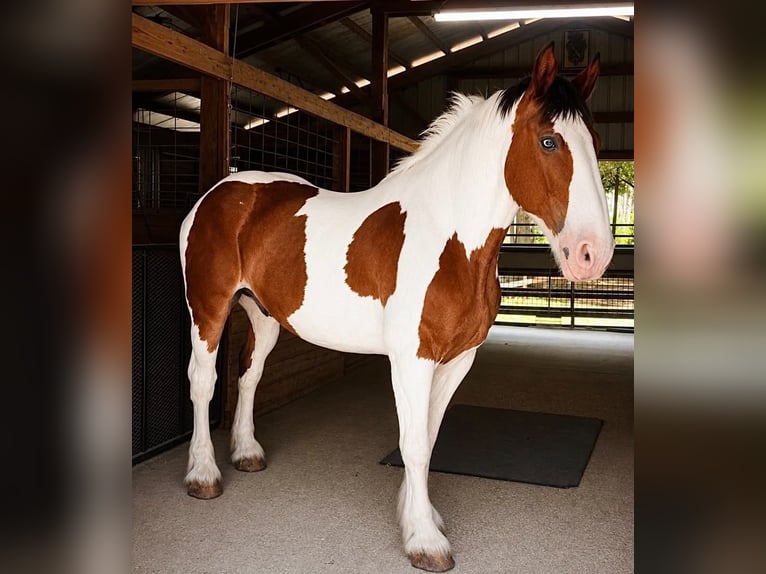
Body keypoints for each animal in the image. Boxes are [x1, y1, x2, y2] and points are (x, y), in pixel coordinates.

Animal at [179, 43, 614, 572]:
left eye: (594, 141)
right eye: (550, 142)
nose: (592, 254)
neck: (450, 240)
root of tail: (219, 192)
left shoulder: (457, 360)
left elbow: (428, 435)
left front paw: (417, 517)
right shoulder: (412, 360)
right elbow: (414, 444)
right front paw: (425, 540)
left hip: (264, 317)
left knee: (249, 376)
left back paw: (246, 453)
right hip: (208, 309)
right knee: (204, 382)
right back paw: (204, 475)